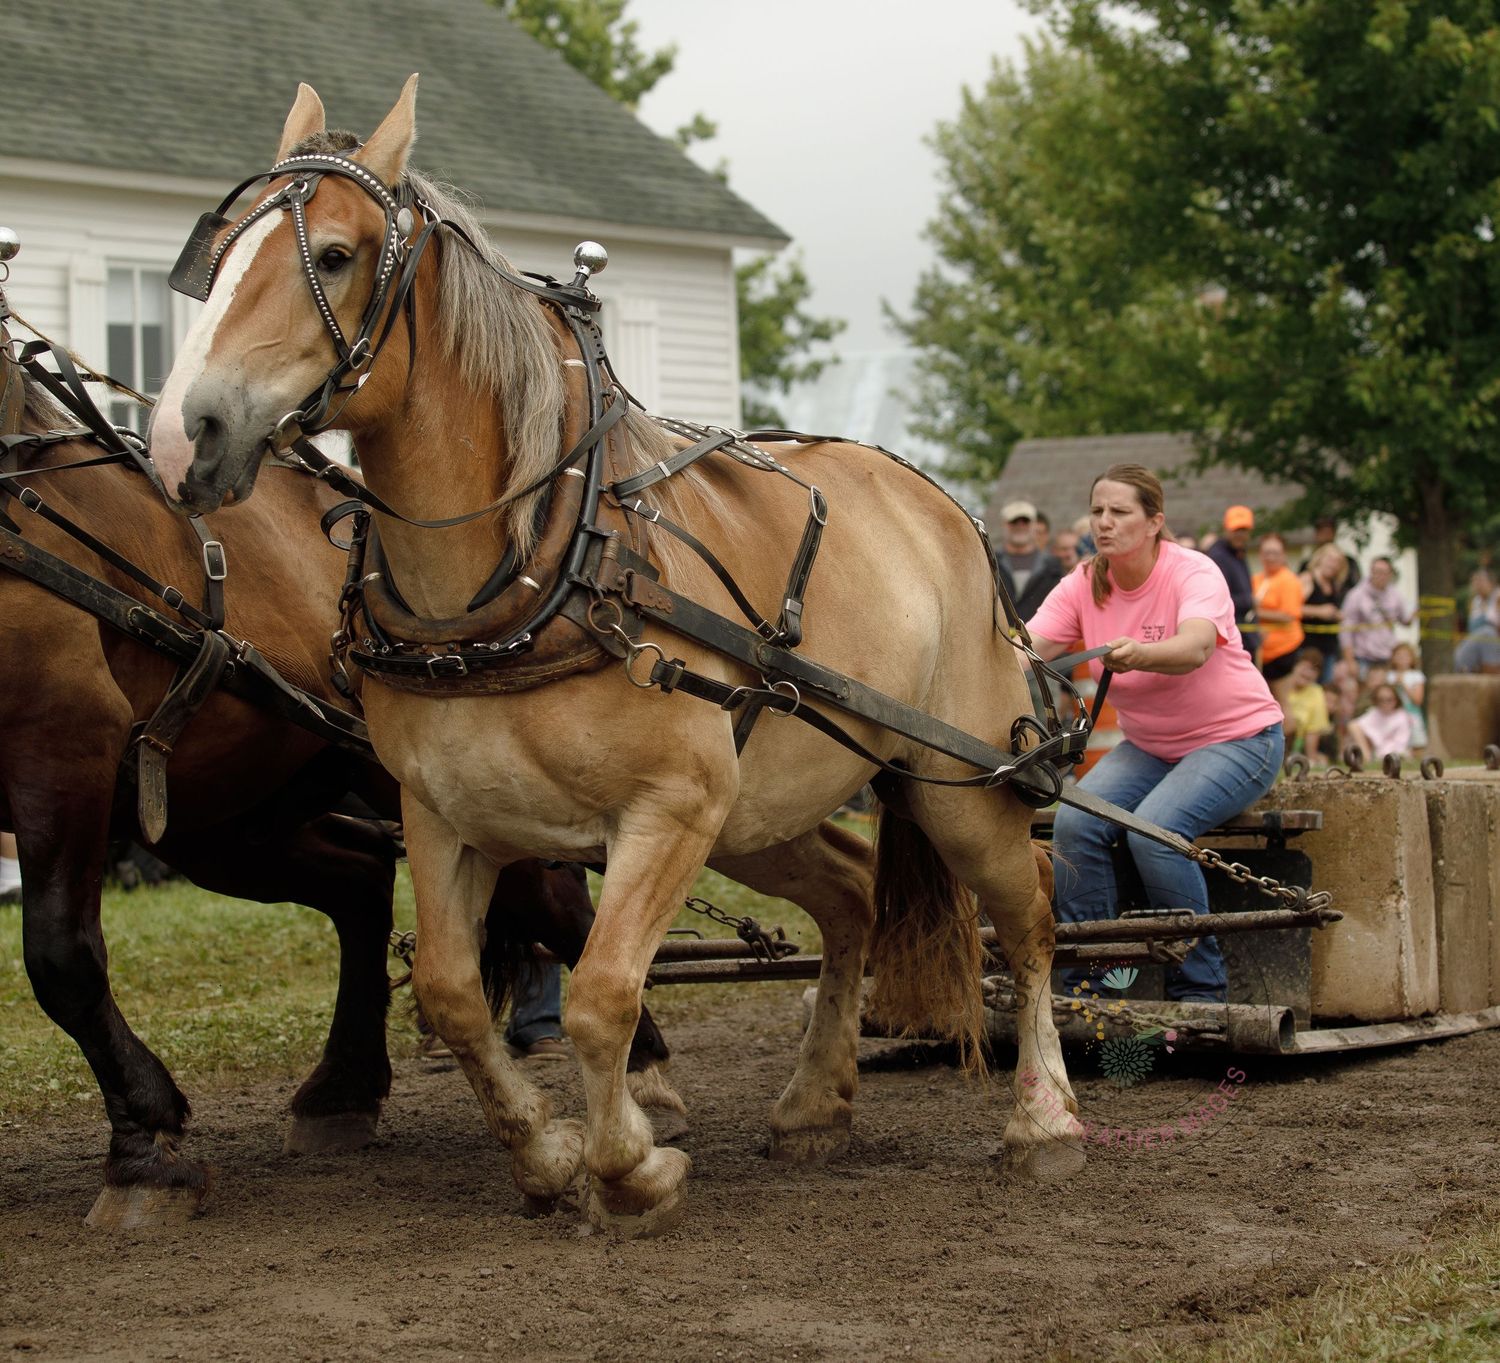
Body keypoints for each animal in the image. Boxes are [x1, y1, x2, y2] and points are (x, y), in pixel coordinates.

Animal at [0, 309, 680, 1229]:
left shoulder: (62, 737)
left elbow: (61, 960)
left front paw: (144, 1151)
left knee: (543, 894)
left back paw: (644, 1069)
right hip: (224, 813)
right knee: (359, 879)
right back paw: (343, 1090)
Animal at [148, 78, 1083, 1234]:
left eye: (333, 253)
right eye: (219, 250)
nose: (185, 434)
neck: (534, 573)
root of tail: (943, 508)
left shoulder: (668, 809)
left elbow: (600, 994)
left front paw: (633, 1165)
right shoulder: (444, 814)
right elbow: (456, 994)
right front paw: (550, 1152)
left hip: (956, 781)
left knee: (1031, 906)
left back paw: (1044, 1119)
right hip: (762, 806)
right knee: (851, 892)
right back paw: (814, 1102)